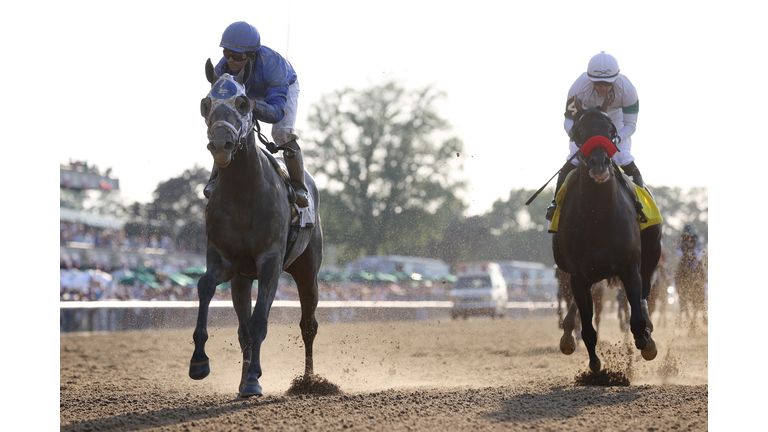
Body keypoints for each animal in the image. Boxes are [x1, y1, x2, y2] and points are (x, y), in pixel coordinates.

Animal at [190, 58, 326, 398]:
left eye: (242, 102)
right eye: (206, 104)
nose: (221, 144)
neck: (244, 192)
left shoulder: (270, 263)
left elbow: (260, 320)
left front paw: (254, 378)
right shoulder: (224, 259)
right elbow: (205, 286)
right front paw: (199, 362)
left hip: (308, 270)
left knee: (308, 325)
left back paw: (309, 381)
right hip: (242, 279)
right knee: (242, 328)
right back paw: (242, 380)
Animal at [548, 106, 664, 372]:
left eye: (610, 130)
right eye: (580, 131)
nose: (599, 162)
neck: (598, 218)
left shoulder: (629, 267)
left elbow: (637, 321)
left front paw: (646, 342)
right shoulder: (579, 276)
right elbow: (588, 330)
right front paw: (594, 365)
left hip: (651, 253)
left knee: (645, 292)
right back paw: (567, 334)